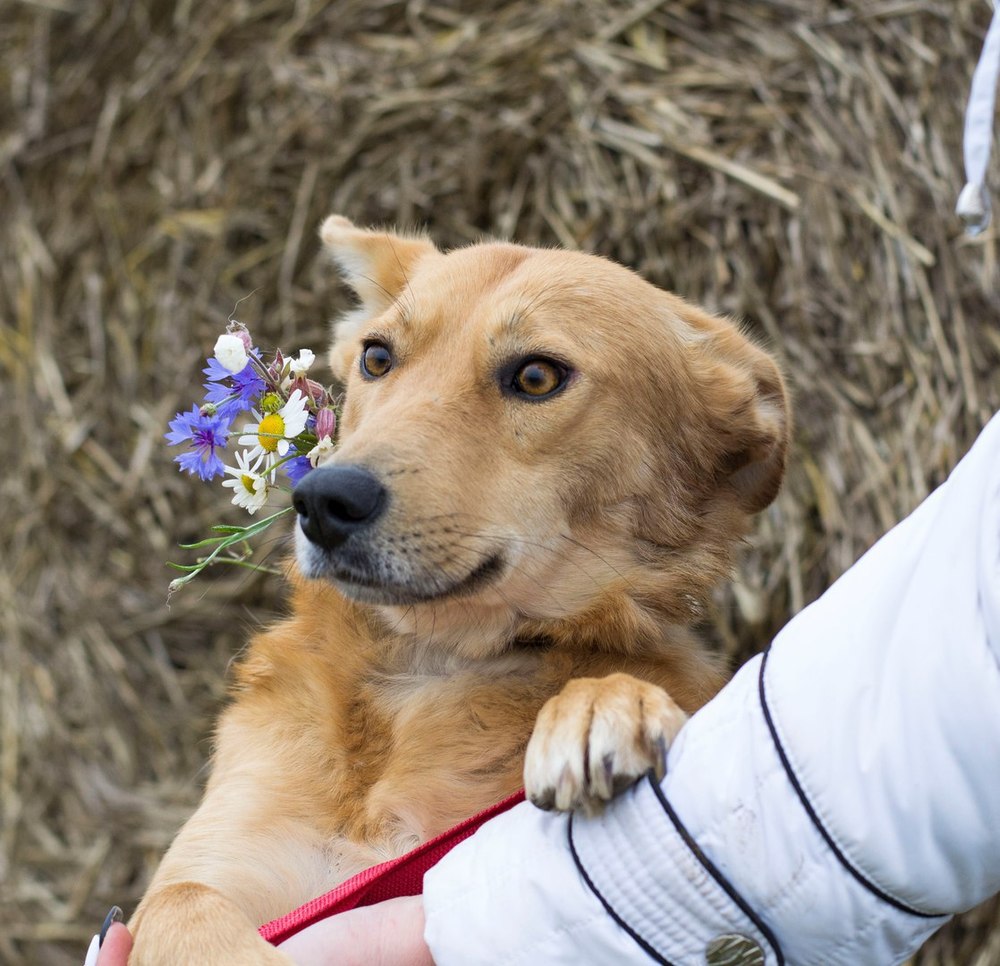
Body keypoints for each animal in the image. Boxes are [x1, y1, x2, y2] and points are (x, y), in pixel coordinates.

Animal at [131, 219, 788, 966]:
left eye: (536, 376)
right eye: (377, 357)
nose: (323, 500)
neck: (430, 668)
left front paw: (601, 704)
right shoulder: (208, 875)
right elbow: (183, 905)